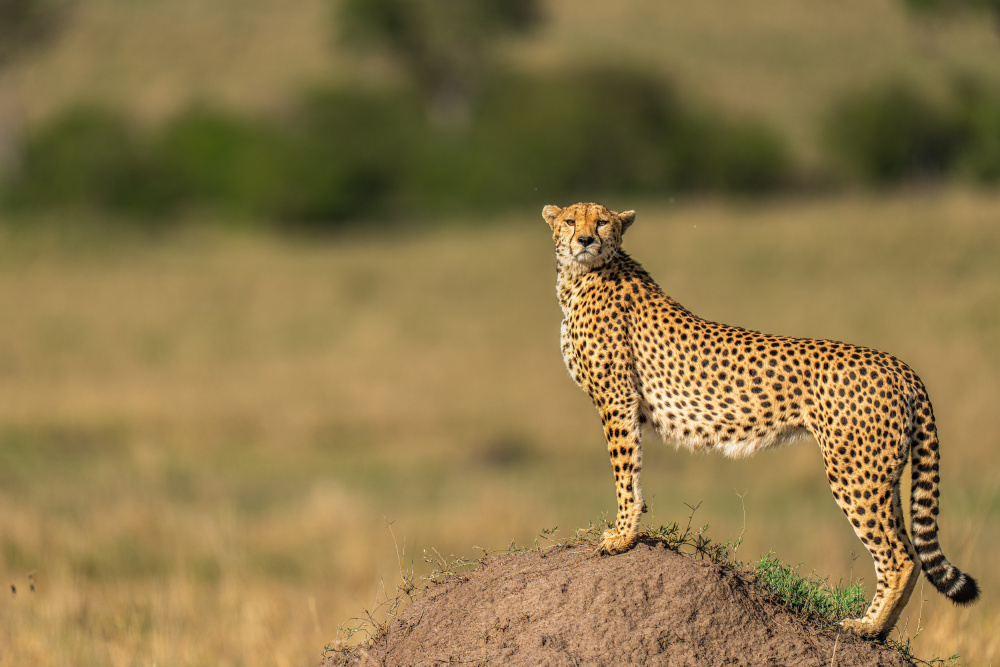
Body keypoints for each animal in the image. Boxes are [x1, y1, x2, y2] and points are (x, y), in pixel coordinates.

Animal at [544, 201, 980, 640]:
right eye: (570, 221)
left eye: (602, 222)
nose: (586, 240)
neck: (581, 275)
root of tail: (897, 364)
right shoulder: (622, 401)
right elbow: (630, 468)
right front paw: (628, 529)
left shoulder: (617, 398)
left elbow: (624, 468)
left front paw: (621, 537)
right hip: (883, 475)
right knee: (910, 551)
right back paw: (879, 630)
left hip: (855, 473)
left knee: (898, 556)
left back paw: (865, 627)